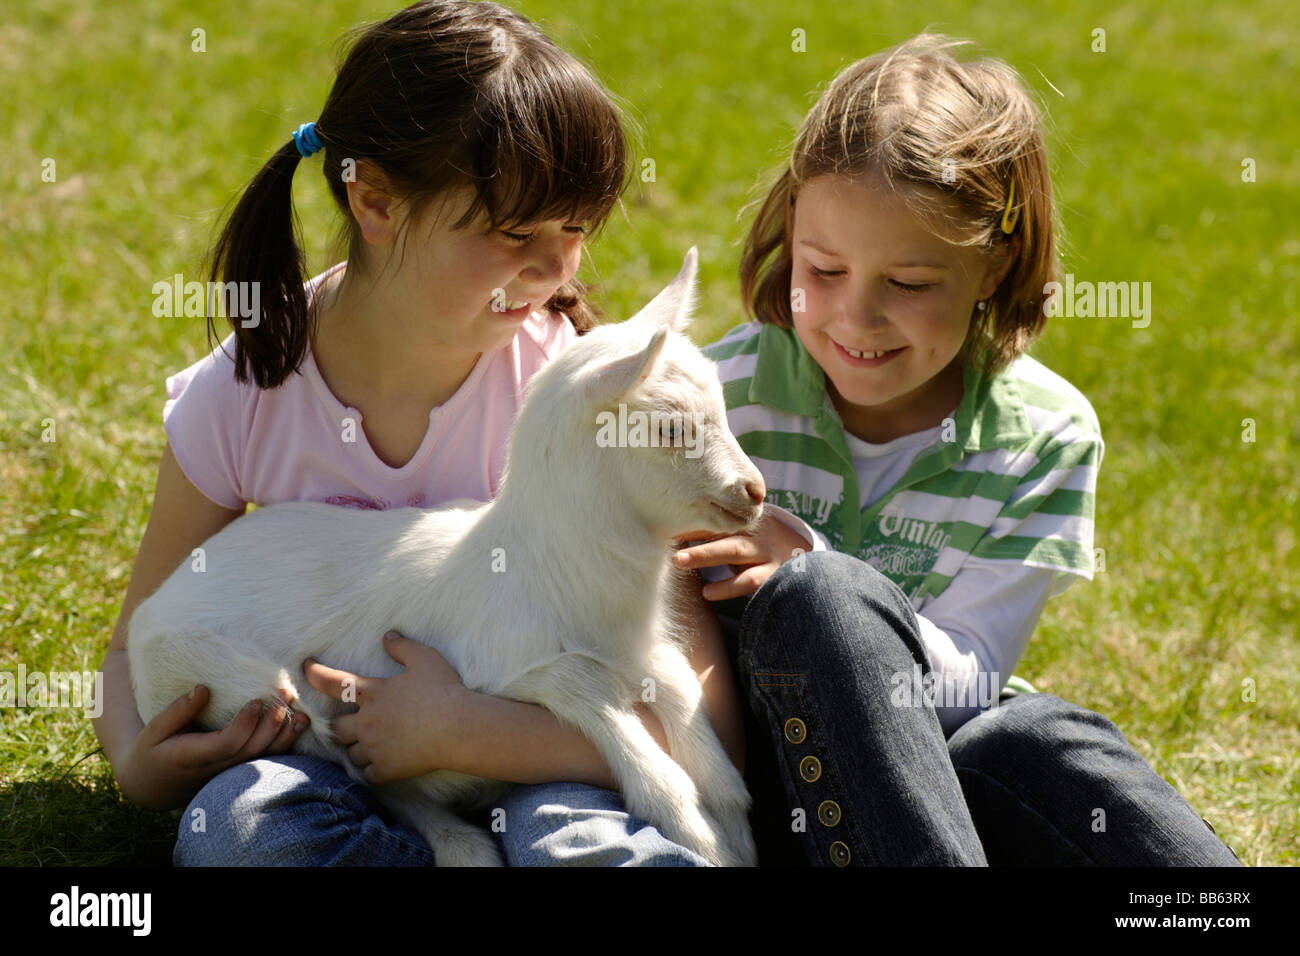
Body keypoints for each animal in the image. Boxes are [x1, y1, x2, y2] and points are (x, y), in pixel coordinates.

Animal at [129, 248, 759, 868]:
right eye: (670, 427)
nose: (752, 491)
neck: (548, 572)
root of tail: (150, 610)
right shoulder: (507, 664)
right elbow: (595, 700)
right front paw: (698, 833)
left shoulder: (641, 651)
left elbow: (686, 694)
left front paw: (734, 827)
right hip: (233, 684)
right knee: (354, 761)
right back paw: (464, 846)